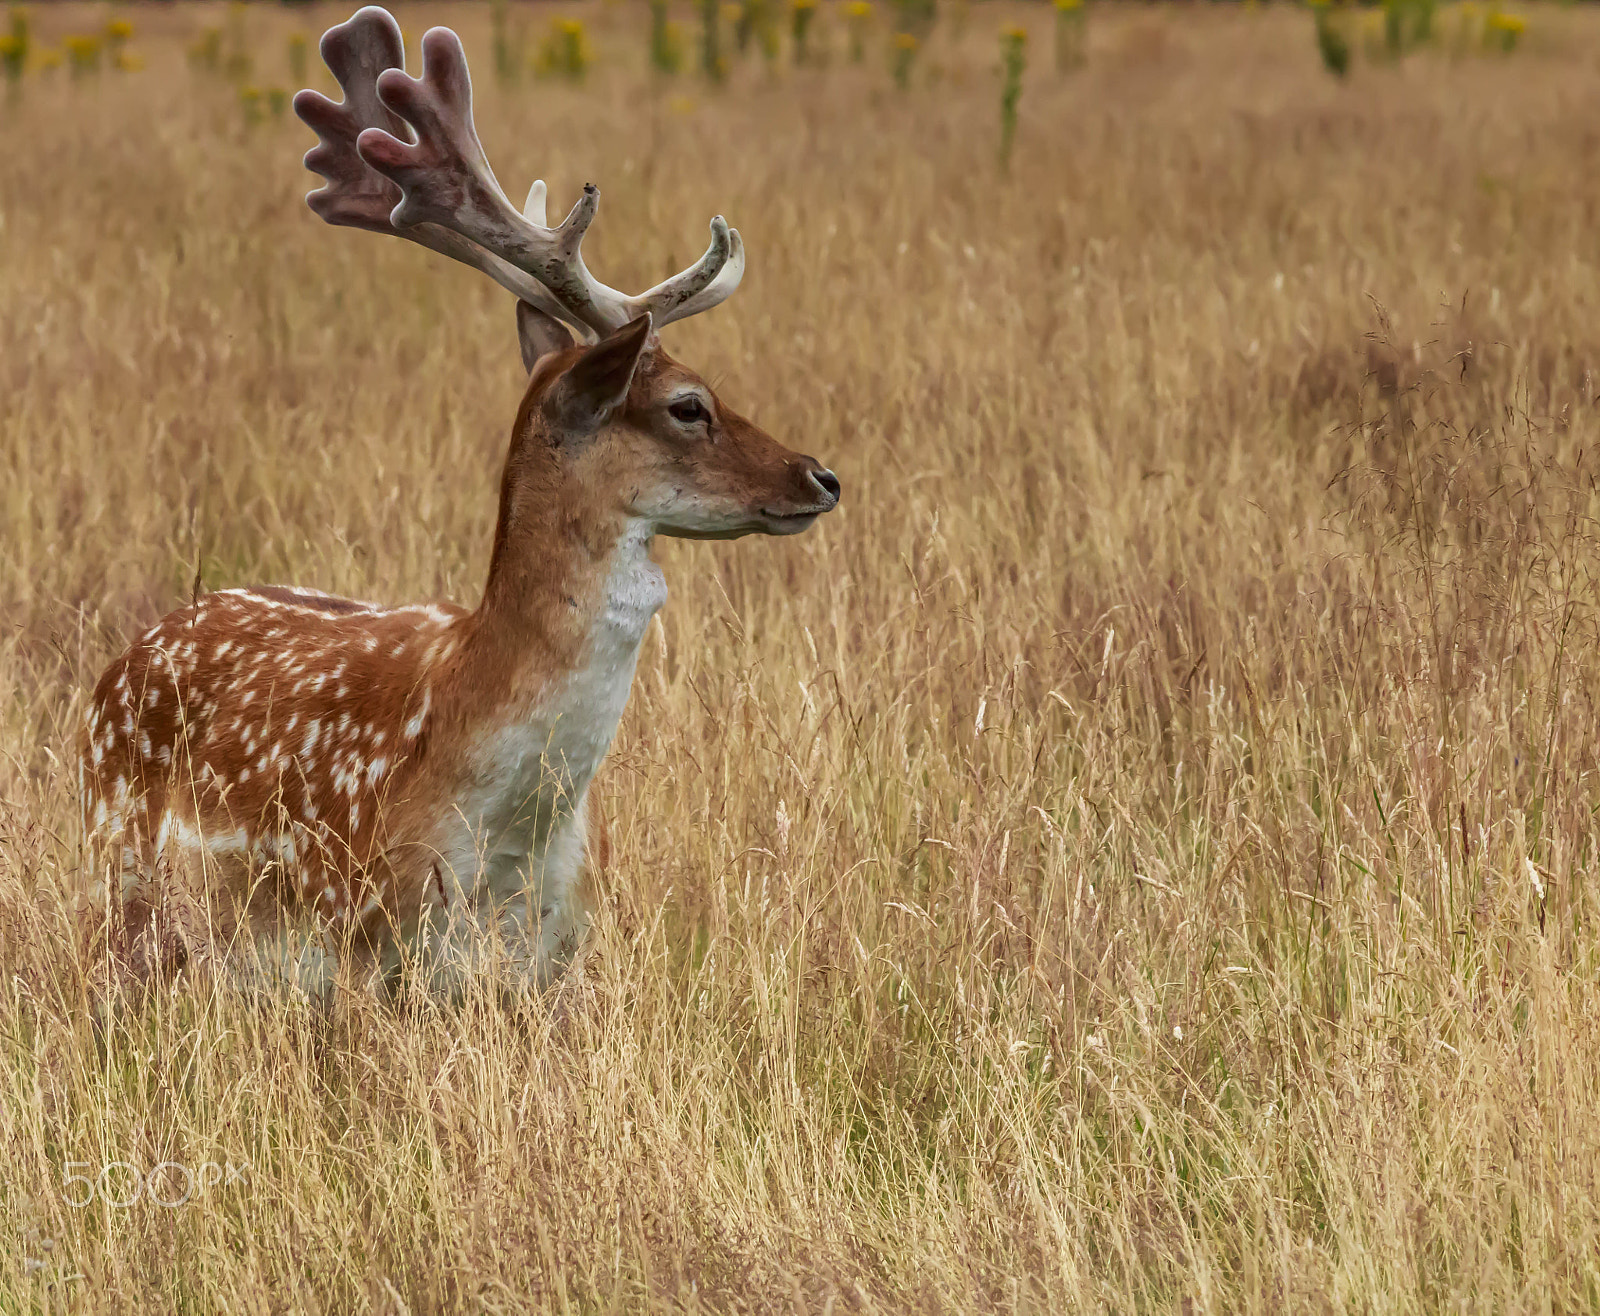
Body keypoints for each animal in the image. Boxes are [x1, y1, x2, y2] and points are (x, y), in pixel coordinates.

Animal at [78, 7, 838, 999]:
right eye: (689, 405)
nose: (820, 477)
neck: (505, 828)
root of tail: (119, 664)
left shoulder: (559, 958)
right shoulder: (361, 944)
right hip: (121, 889)